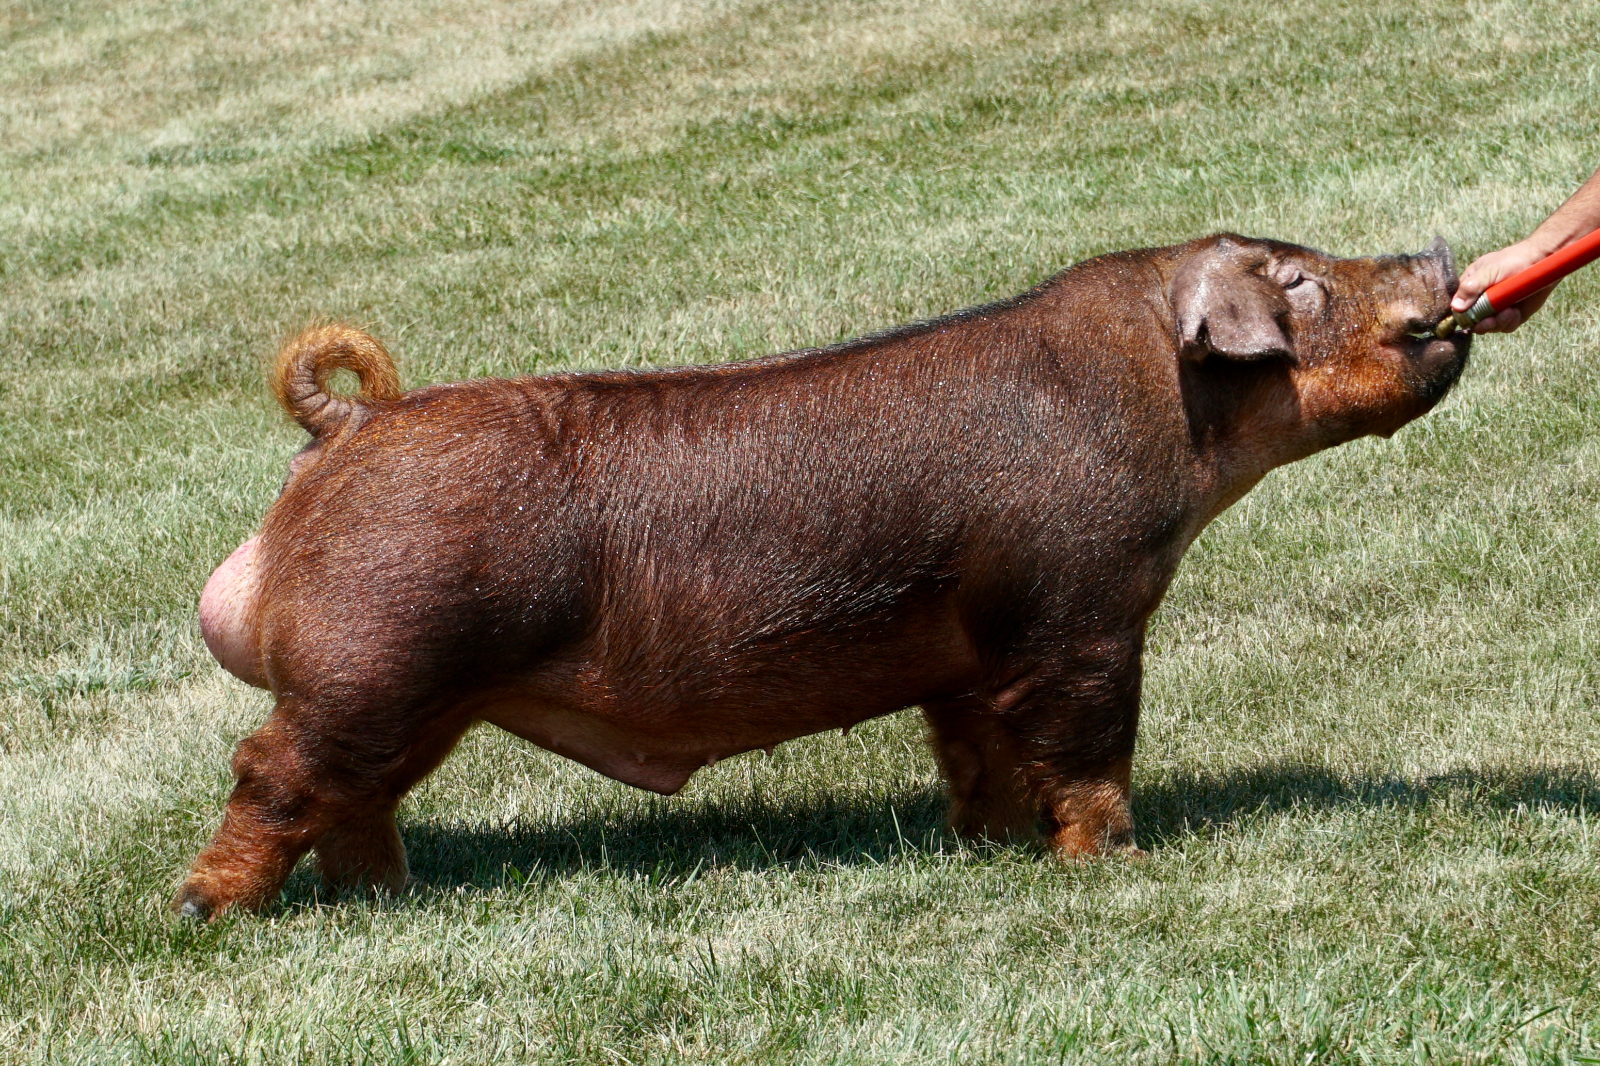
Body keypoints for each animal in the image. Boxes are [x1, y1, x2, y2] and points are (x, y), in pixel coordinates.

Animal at [176, 234, 1469, 918]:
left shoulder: (969, 650)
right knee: (270, 768)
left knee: (356, 795)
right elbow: (1090, 742)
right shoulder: (1079, 611)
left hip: (418, 695)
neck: (1162, 404)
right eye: (1296, 279)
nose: (1433, 255)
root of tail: (349, 426)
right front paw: (1118, 861)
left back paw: (385, 900)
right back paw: (208, 908)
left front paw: (988, 847)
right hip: (378, 657)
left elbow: (974, 752)